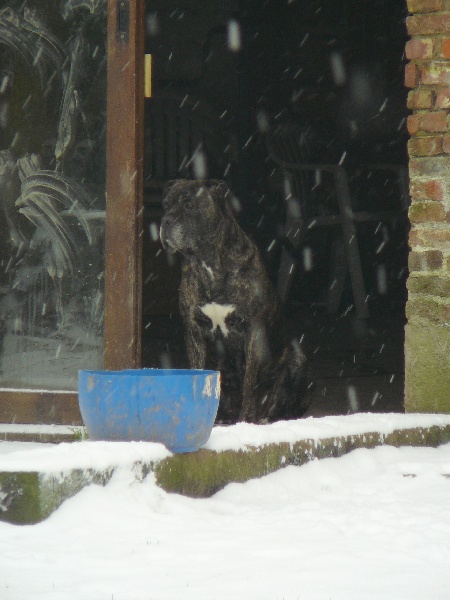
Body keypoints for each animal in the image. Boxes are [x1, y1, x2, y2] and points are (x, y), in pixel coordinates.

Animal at [160, 178, 312, 422]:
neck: (208, 261)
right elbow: (197, 373)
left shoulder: (253, 329)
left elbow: (251, 383)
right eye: (165, 205)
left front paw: (246, 420)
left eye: (190, 205)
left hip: (298, 362)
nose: (165, 221)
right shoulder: (193, 331)